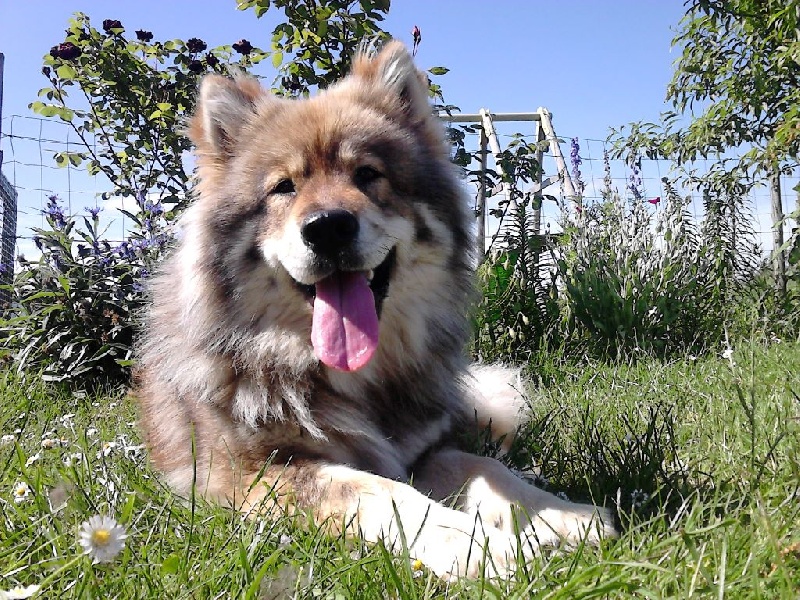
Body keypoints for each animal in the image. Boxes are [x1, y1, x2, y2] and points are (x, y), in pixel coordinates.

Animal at [136, 40, 615, 579]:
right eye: (284, 187)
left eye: (367, 174)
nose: (327, 227)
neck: (352, 378)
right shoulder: (251, 472)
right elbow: (380, 491)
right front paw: (474, 542)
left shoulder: (423, 450)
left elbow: (484, 467)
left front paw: (559, 513)